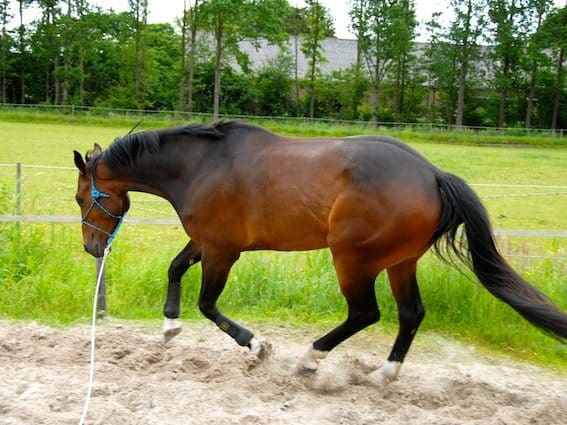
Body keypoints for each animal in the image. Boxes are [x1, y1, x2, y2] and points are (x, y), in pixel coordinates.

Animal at [73, 119, 564, 384]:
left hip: (353, 259)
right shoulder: (209, 243)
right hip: (400, 262)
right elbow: (175, 269)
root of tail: (433, 174)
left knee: (365, 313)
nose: (91, 247)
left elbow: (208, 304)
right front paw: (169, 328)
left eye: (81, 198)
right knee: (411, 314)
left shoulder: (221, 252)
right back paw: (383, 375)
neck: (200, 166)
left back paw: (309, 360)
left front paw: (258, 346)